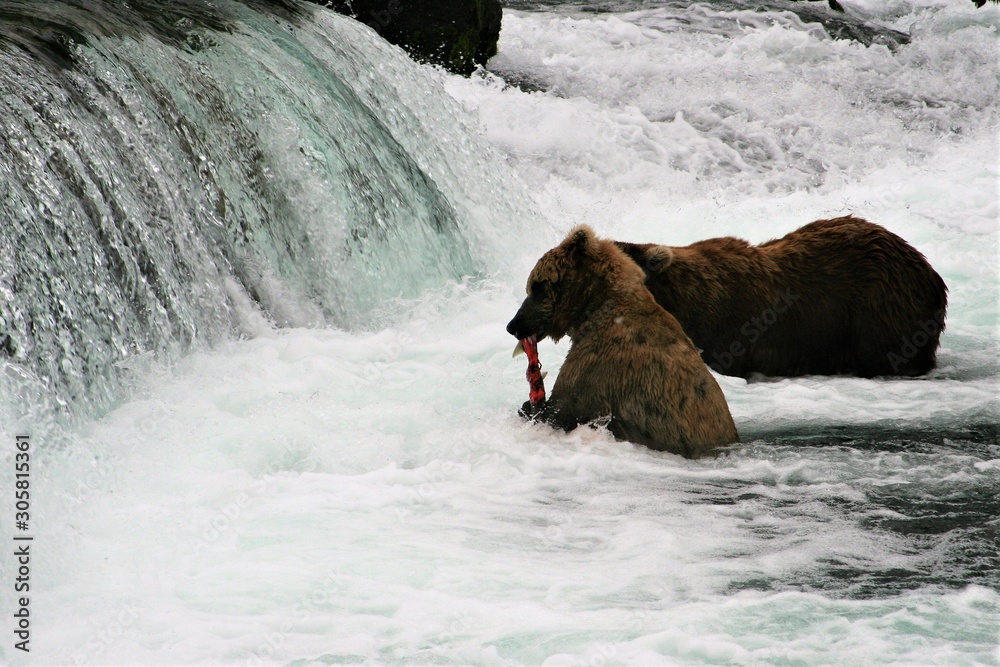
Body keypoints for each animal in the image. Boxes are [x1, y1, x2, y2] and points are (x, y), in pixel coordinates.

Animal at [506, 225, 739, 459]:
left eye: (537, 286)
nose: (512, 325)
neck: (593, 309)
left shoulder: (599, 366)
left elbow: (561, 410)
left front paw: (531, 407)